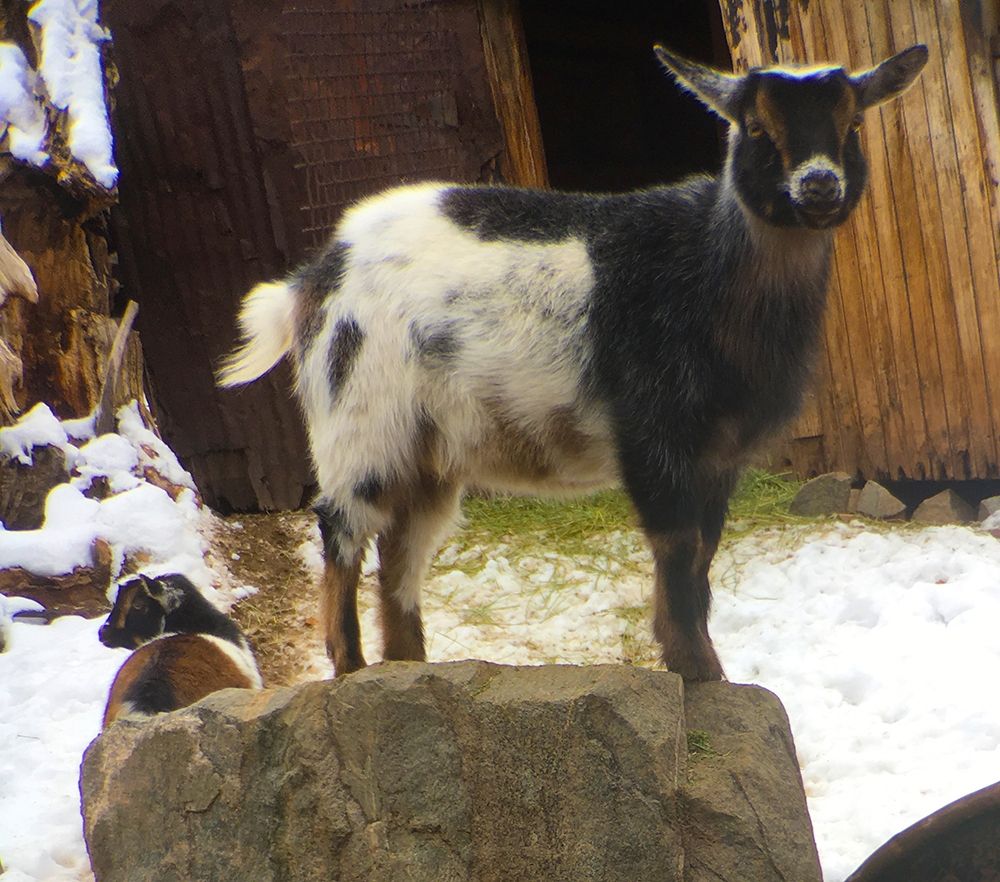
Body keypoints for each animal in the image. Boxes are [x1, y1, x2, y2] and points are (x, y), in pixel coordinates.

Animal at [218, 44, 928, 681]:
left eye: (853, 124)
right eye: (754, 126)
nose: (818, 185)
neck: (708, 267)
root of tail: (315, 276)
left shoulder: (718, 456)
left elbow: (702, 554)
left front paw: (698, 664)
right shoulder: (653, 436)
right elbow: (678, 550)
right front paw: (698, 671)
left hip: (428, 453)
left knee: (400, 552)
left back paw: (406, 670)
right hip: (361, 418)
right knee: (343, 531)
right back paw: (351, 667)